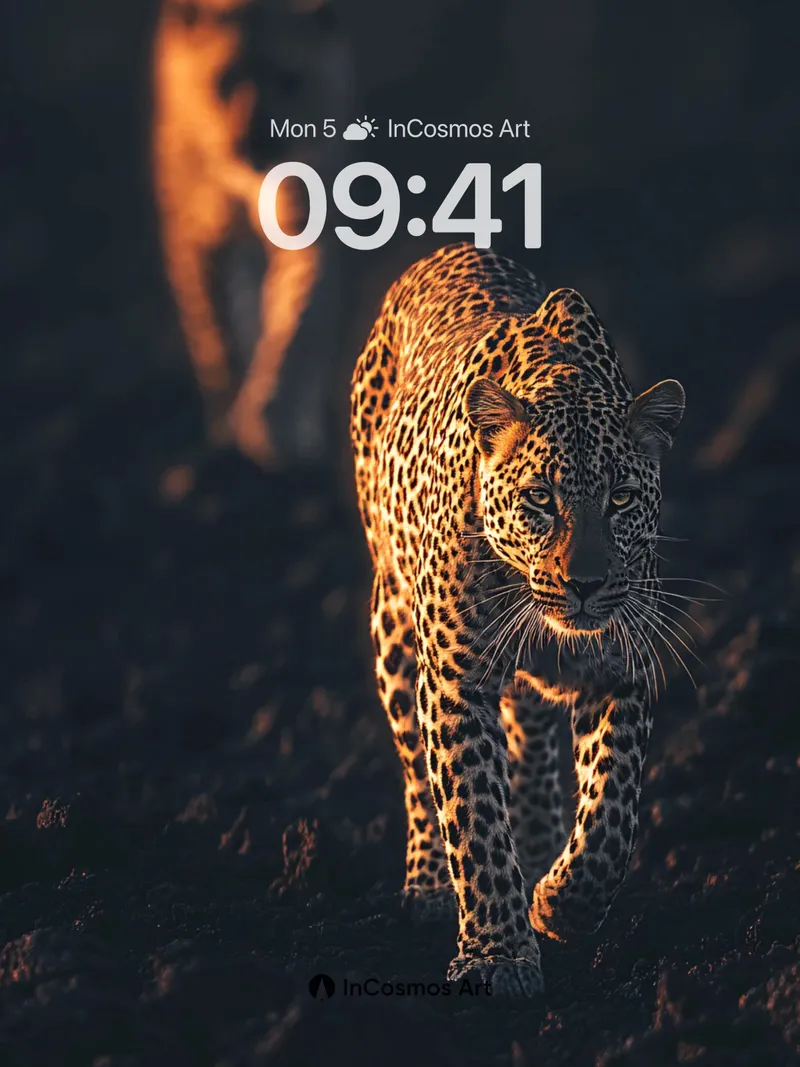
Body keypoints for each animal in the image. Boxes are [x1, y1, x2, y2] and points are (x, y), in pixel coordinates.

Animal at [350, 242, 686, 997]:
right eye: (539, 498)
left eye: (622, 498)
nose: (586, 585)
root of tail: (449, 248)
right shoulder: (457, 681)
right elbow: (473, 813)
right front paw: (496, 955)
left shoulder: (624, 667)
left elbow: (613, 805)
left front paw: (561, 903)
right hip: (395, 626)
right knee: (418, 771)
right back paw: (429, 885)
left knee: (530, 735)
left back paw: (537, 848)